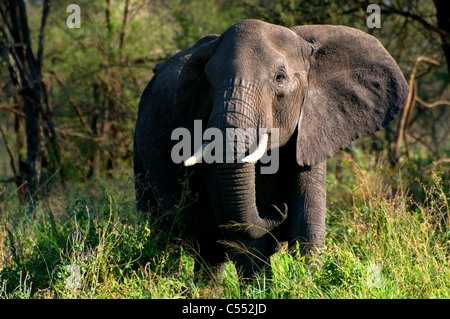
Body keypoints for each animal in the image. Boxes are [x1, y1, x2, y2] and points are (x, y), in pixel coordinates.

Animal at [132, 19, 410, 280]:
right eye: (207, 82)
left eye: (280, 78)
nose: (277, 209)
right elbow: (245, 237)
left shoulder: (312, 128)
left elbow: (307, 224)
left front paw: (306, 283)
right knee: (161, 241)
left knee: (209, 257)